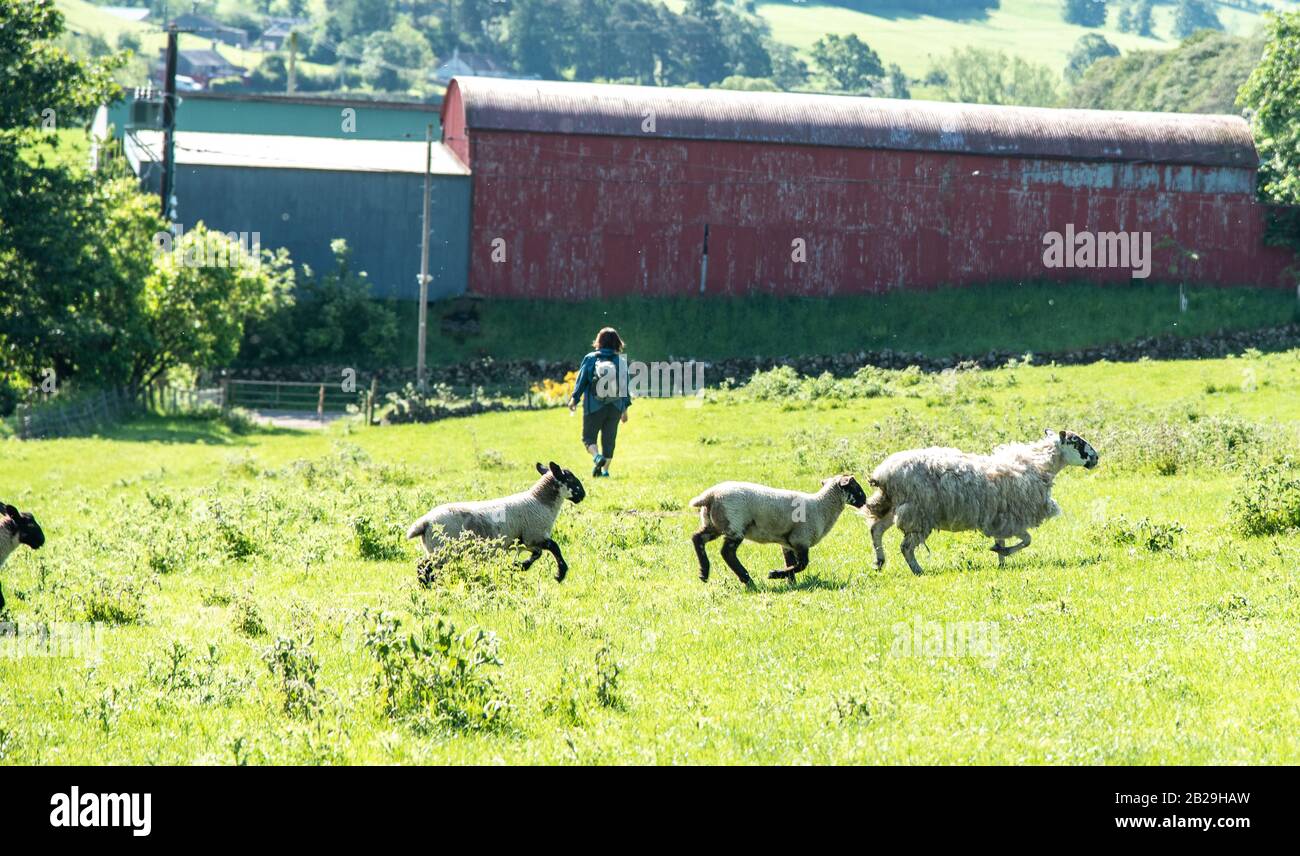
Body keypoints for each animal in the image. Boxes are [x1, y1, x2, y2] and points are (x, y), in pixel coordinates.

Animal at [405, 460, 590, 580]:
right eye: (570, 478)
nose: (582, 495)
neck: (538, 501)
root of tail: (425, 523)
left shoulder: (526, 541)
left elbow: (537, 554)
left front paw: (520, 566)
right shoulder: (534, 535)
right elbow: (555, 547)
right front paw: (560, 574)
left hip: (434, 549)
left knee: (423, 566)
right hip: (443, 550)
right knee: (424, 567)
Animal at [686, 473, 868, 588]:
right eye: (856, 487)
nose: (865, 501)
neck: (821, 506)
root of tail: (710, 495)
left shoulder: (787, 543)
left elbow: (791, 563)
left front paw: (791, 583)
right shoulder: (801, 538)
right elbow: (801, 565)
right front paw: (774, 574)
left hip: (714, 523)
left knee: (697, 538)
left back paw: (704, 572)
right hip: (734, 524)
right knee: (727, 553)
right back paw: (747, 580)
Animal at [863, 426, 1097, 572]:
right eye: (1076, 442)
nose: (1096, 458)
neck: (1037, 464)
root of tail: (884, 472)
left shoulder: (1000, 519)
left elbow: (1006, 541)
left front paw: (1001, 561)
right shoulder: (1014, 518)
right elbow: (1027, 540)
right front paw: (1002, 553)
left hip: (893, 505)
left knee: (876, 529)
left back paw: (879, 561)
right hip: (917, 512)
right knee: (905, 546)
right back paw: (917, 570)